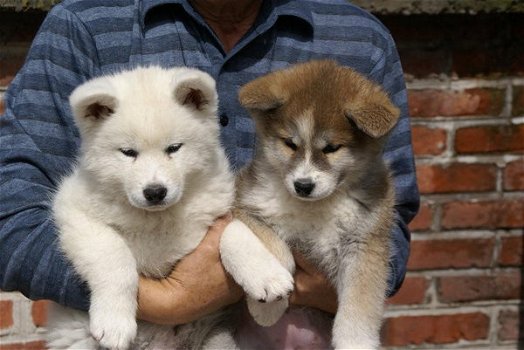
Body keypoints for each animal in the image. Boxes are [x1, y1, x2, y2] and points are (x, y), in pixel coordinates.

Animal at [220, 60, 398, 350]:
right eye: (290, 144)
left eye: (332, 148)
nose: (303, 185)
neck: (313, 207)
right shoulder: (245, 206)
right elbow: (279, 249)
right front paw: (268, 307)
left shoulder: (366, 244)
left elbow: (359, 305)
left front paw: (355, 341)